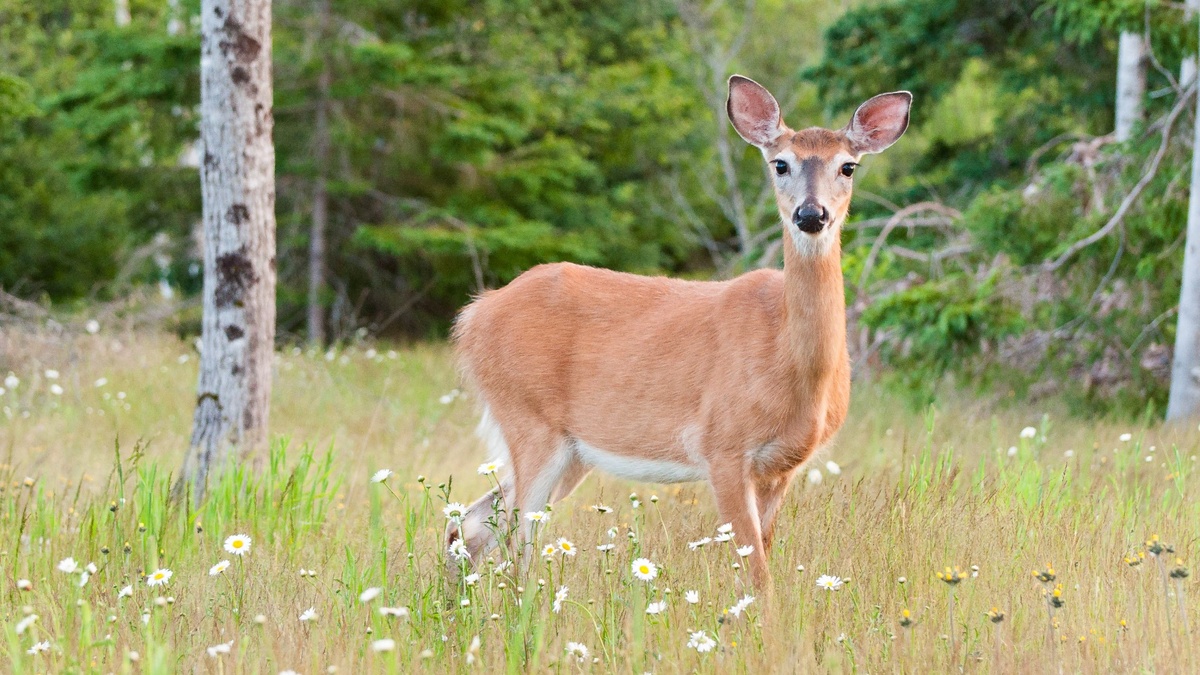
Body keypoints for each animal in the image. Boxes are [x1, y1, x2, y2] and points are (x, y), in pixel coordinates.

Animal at [447, 75, 911, 590]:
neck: (788, 360)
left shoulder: (782, 467)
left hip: (571, 450)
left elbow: (762, 561)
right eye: (780, 163)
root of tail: (474, 315)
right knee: (516, 542)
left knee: (472, 522)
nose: (811, 215)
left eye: (848, 166)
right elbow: (756, 573)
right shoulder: (721, 446)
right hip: (528, 417)